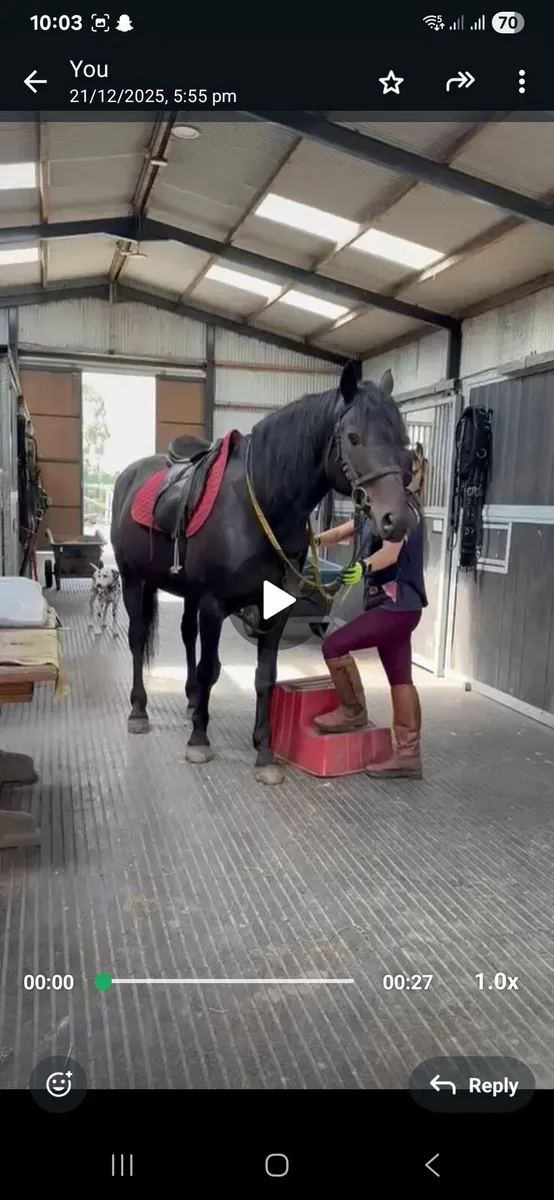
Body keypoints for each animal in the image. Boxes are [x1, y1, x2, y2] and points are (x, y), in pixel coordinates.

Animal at [110, 361, 417, 786]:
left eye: (403, 440)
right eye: (354, 437)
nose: (397, 520)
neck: (260, 504)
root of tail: (130, 474)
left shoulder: (275, 609)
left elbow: (264, 677)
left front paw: (265, 752)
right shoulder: (214, 604)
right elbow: (211, 668)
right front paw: (199, 740)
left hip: (185, 593)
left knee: (186, 636)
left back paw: (191, 700)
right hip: (133, 579)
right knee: (139, 638)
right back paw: (139, 711)